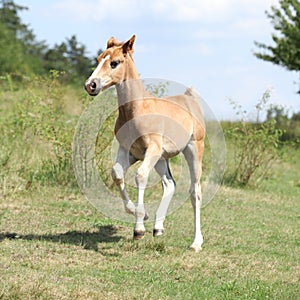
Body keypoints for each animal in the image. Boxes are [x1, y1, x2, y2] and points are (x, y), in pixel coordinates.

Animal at [85, 35, 205, 251]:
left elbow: (140, 176)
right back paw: (158, 227)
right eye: (98, 59)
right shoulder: (129, 150)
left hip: (193, 149)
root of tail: (189, 98)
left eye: (115, 62)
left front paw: (138, 230)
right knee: (170, 184)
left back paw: (196, 242)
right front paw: (142, 215)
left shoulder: (152, 150)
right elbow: (117, 174)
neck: (136, 110)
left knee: (195, 191)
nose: (91, 85)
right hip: (161, 158)